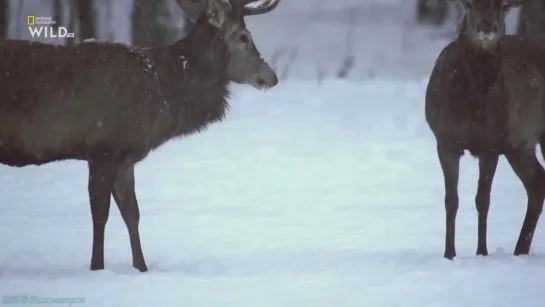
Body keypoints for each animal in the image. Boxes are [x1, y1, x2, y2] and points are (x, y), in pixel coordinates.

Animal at [0, 0, 280, 274]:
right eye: (243, 37)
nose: (272, 76)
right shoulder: (102, 148)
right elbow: (100, 215)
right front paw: (97, 268)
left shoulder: (124, 158)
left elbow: (132, 213)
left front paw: (141, 268)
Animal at [422, 0, 544, 260]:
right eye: (469, 3)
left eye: (504, 5)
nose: (487, 25)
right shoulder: (445, 141)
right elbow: (451, 200)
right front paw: (449, 254)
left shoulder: (490, 143)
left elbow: (483, 200)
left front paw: (482, 253)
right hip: (518, 144)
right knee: (538, 181)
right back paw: (519, 251)